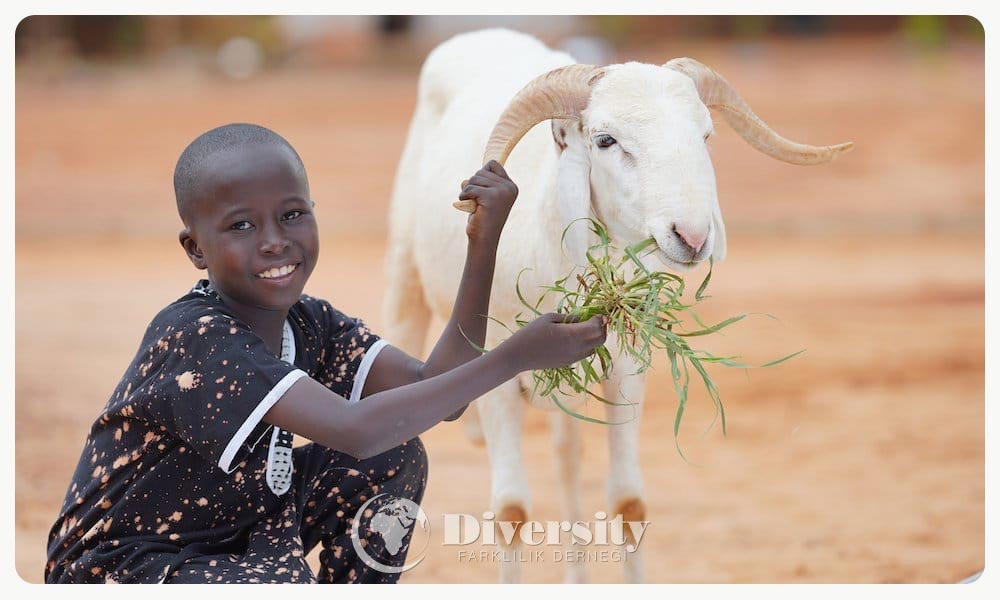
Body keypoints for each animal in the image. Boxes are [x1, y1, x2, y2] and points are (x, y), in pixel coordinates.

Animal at [382, 27, 852, 580]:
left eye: (706, 136)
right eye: (606, 140)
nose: (693, 237)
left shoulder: (626, 372)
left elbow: (629, 504)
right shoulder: (494, 382)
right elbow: (511, 513)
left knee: (567, 457)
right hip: (405, 280)